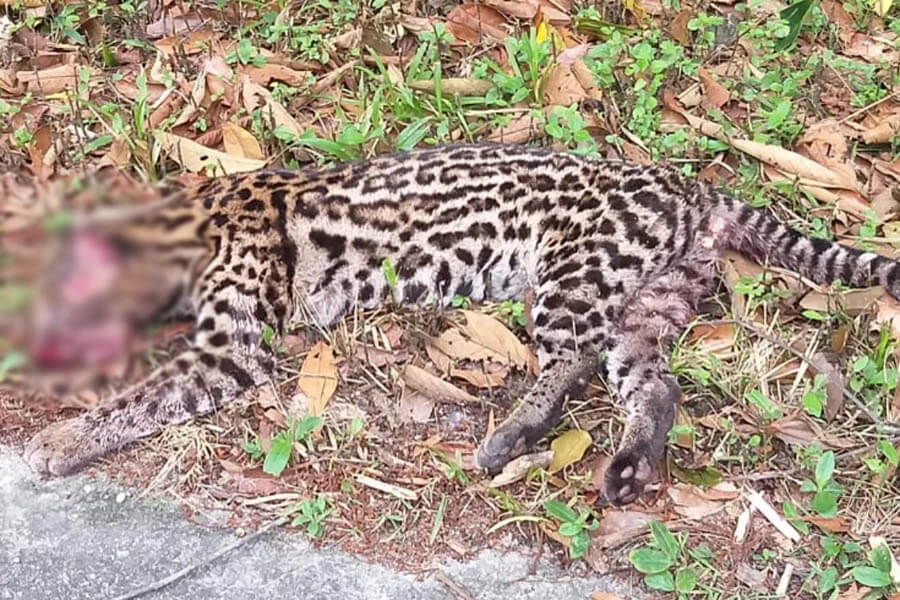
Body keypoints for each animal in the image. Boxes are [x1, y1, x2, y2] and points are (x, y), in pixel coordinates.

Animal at [21, 143, 900, 504]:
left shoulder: (228, 348)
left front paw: (62, 437)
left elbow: (140, 398)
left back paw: (511, 436)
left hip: (574, 276)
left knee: (572, 364)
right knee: (656, 385)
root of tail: (694, 187)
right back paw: (626, 467)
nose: (30, 338)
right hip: (647, 303)